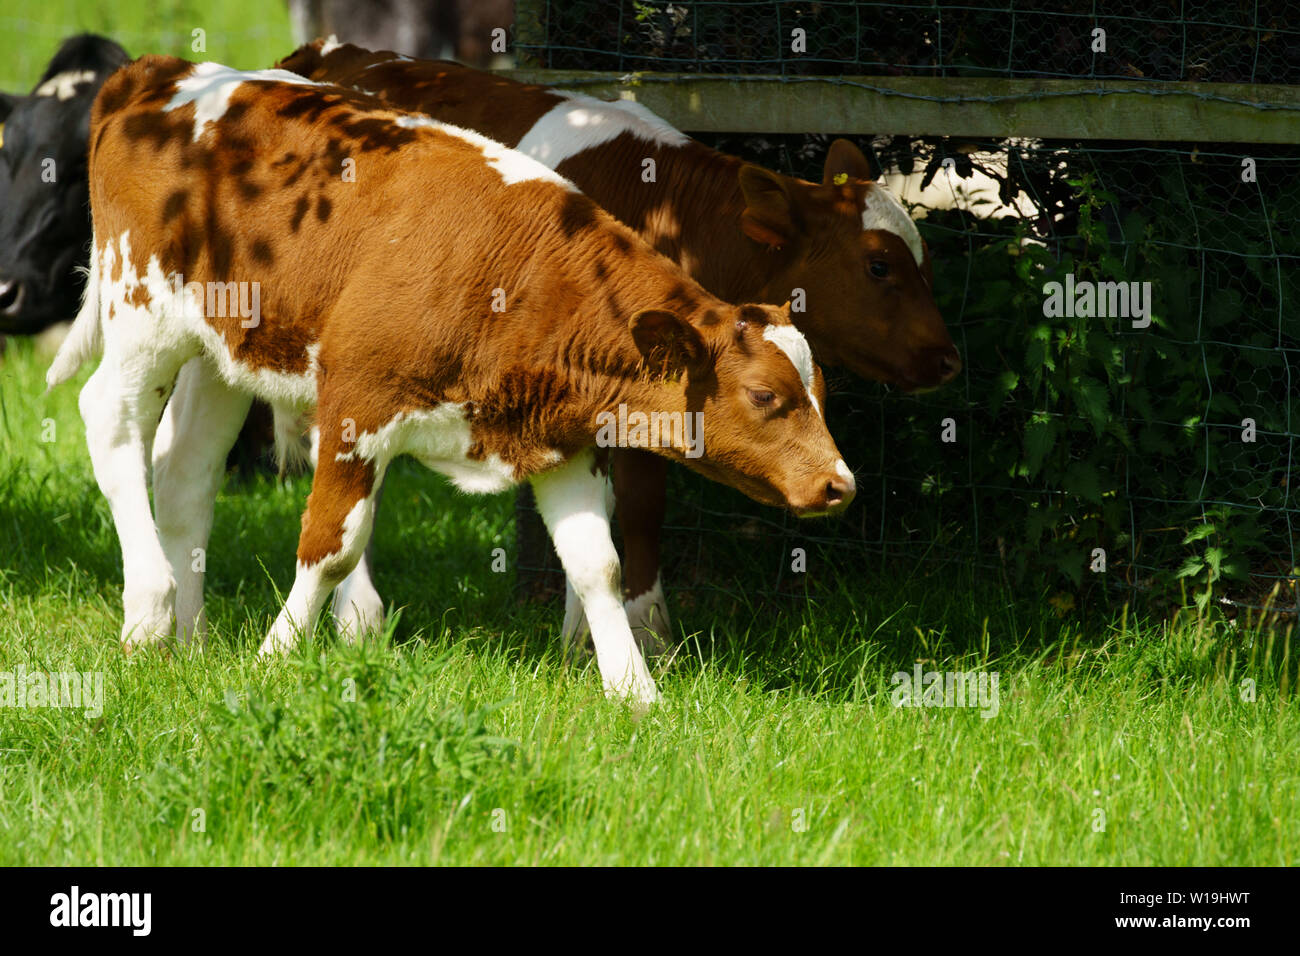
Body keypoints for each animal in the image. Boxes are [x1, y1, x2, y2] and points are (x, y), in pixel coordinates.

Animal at [46, 56, 856, 707]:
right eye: (766, 397)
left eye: (823, 393)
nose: (840, 484)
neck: (515, 279)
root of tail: (164, 72)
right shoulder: (357, 405)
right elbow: (331, 545)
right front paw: (275, 656)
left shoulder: (560, 441)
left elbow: (598, 565)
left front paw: (636, 694)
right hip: (141, 312)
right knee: (108, 421)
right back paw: (150, 611)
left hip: (222, 349)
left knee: (184, 470)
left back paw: (191, 634)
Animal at [275, 41, 961, 653]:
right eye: (878, 266)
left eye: (926, 262)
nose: (948, 359)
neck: (667, 213)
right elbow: (622, 502)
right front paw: (636, 630)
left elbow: (636, 505)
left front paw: (607, 632)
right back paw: (357, 616)